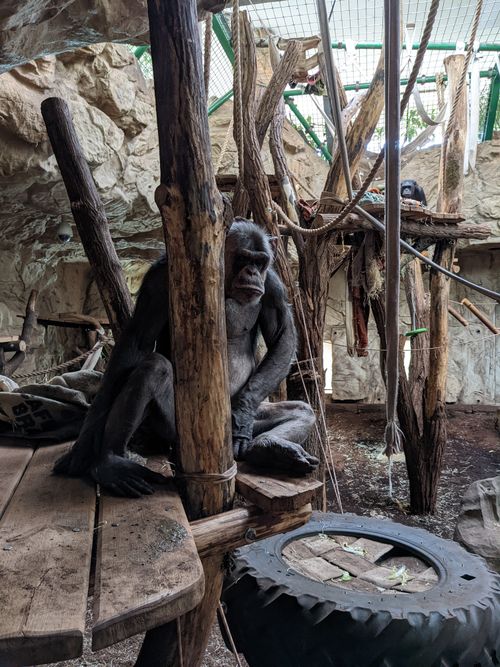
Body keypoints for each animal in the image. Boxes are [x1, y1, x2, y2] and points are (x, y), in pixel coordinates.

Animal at [54, 219, 319, 496]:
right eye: (244, 258)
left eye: (260, 261)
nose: (252, 273)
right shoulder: (158, 278)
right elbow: (137, 341)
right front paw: (83, 446)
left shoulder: (274, 286)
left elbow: (282, 337)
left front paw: (241, 417)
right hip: (178, 432)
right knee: (153, 368)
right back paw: (110, 461)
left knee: (302, 411)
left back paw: (270, 447)